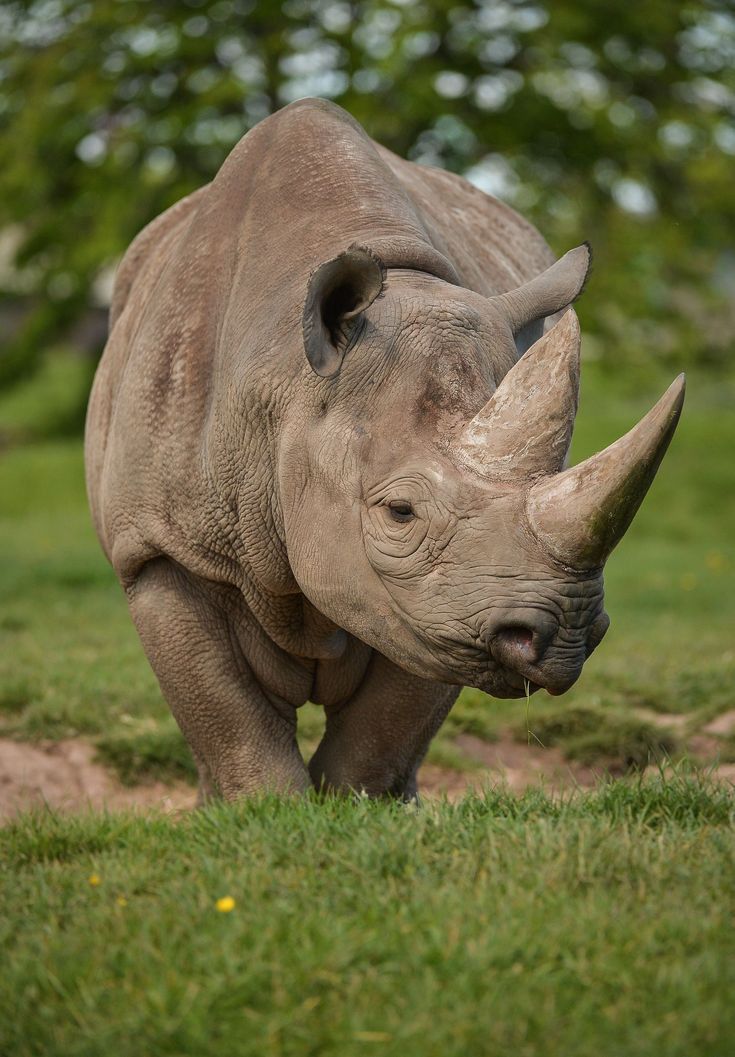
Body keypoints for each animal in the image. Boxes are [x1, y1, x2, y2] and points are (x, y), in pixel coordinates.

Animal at [84, 99, 685, 799]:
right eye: (399, 513)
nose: (567, 632)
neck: (282, 380)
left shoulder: (443, 605)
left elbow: (385, 728)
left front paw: (364, 806)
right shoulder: (160, 545)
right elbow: (229, 723)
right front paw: (260, 810)